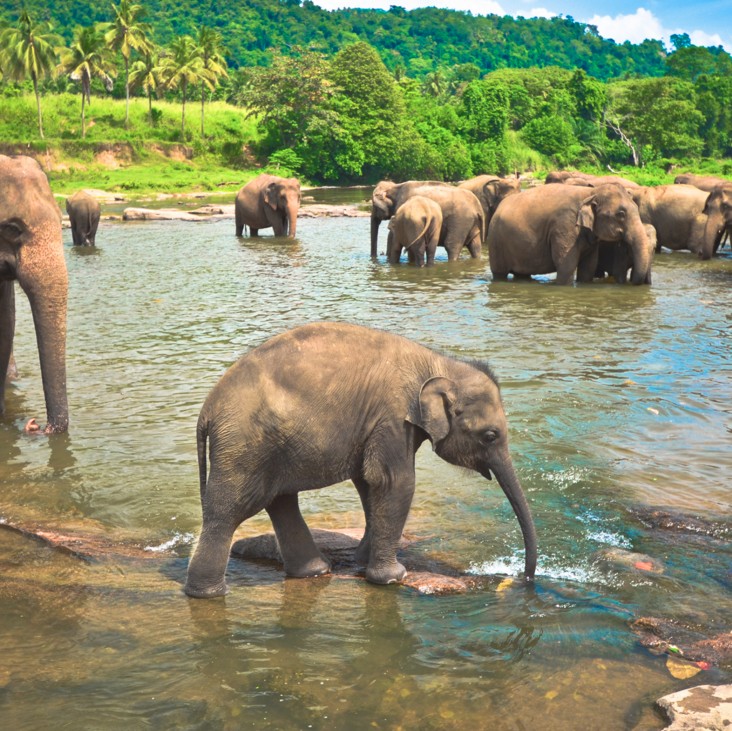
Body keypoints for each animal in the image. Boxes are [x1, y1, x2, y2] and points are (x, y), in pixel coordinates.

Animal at [184, 322, 537, 598]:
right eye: (490, 435)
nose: (523, 577)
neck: (439, 363)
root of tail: (207, 410)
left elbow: (368, 482)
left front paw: (363, 561)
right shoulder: (393, 418)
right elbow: (395, 482)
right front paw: (393, 577)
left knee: (281, 501)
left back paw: (314, 572)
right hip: (243, 446)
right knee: (229, 511)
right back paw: (207, 593)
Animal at [487, 183, 653, 285]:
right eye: (620, 214)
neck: (590, 193)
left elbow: (588, 267)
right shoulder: (564, 226)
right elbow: (566, 265)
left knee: (522, 274)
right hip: (496, 241)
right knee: (499, 273)